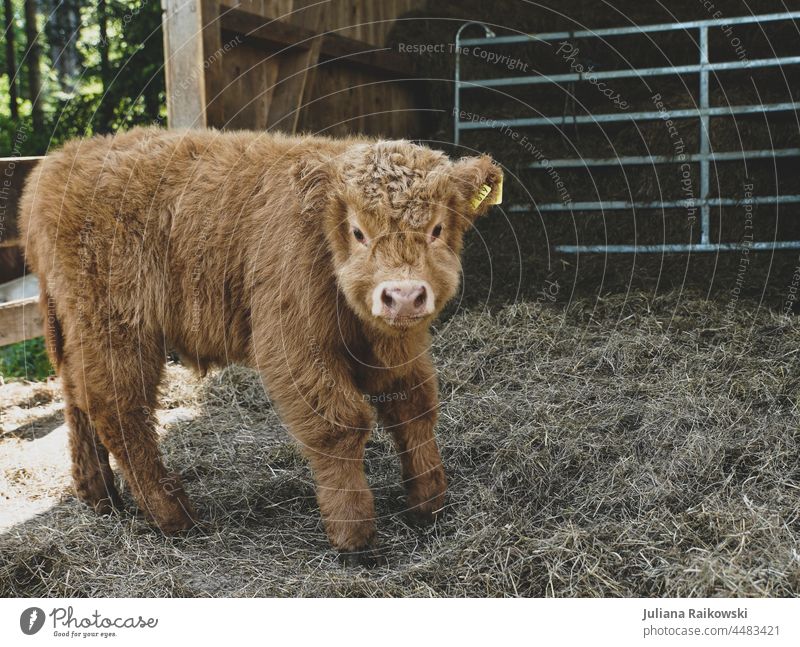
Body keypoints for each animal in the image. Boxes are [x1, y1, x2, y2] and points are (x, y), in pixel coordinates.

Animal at [18, 129, 500, 560]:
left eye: (437, 228)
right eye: (359, 232)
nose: (402, 295)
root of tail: (60, 160)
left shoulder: (401, 346)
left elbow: (414, 408)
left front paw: (429, 502)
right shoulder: (294, 346)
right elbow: (339, 425)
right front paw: (354, 536)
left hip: (80, 330)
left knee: (77, 397)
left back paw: (99, 496)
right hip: (115, 327)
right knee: (117, 408)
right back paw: (173, 516)